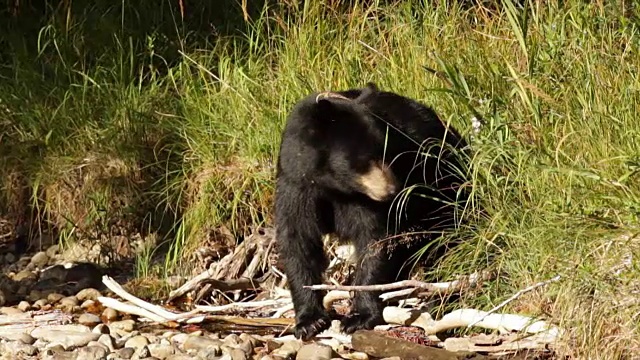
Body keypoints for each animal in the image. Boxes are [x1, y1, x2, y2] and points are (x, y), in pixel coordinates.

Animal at [276, 83, 470, 338]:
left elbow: (375, 239)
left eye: (390, 152)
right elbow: (298, 241)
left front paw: (359, 315)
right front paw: (310, 320)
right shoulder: (295, 185)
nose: (394, 190)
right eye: (365, 159)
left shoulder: (365, 200)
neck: (332, 185)